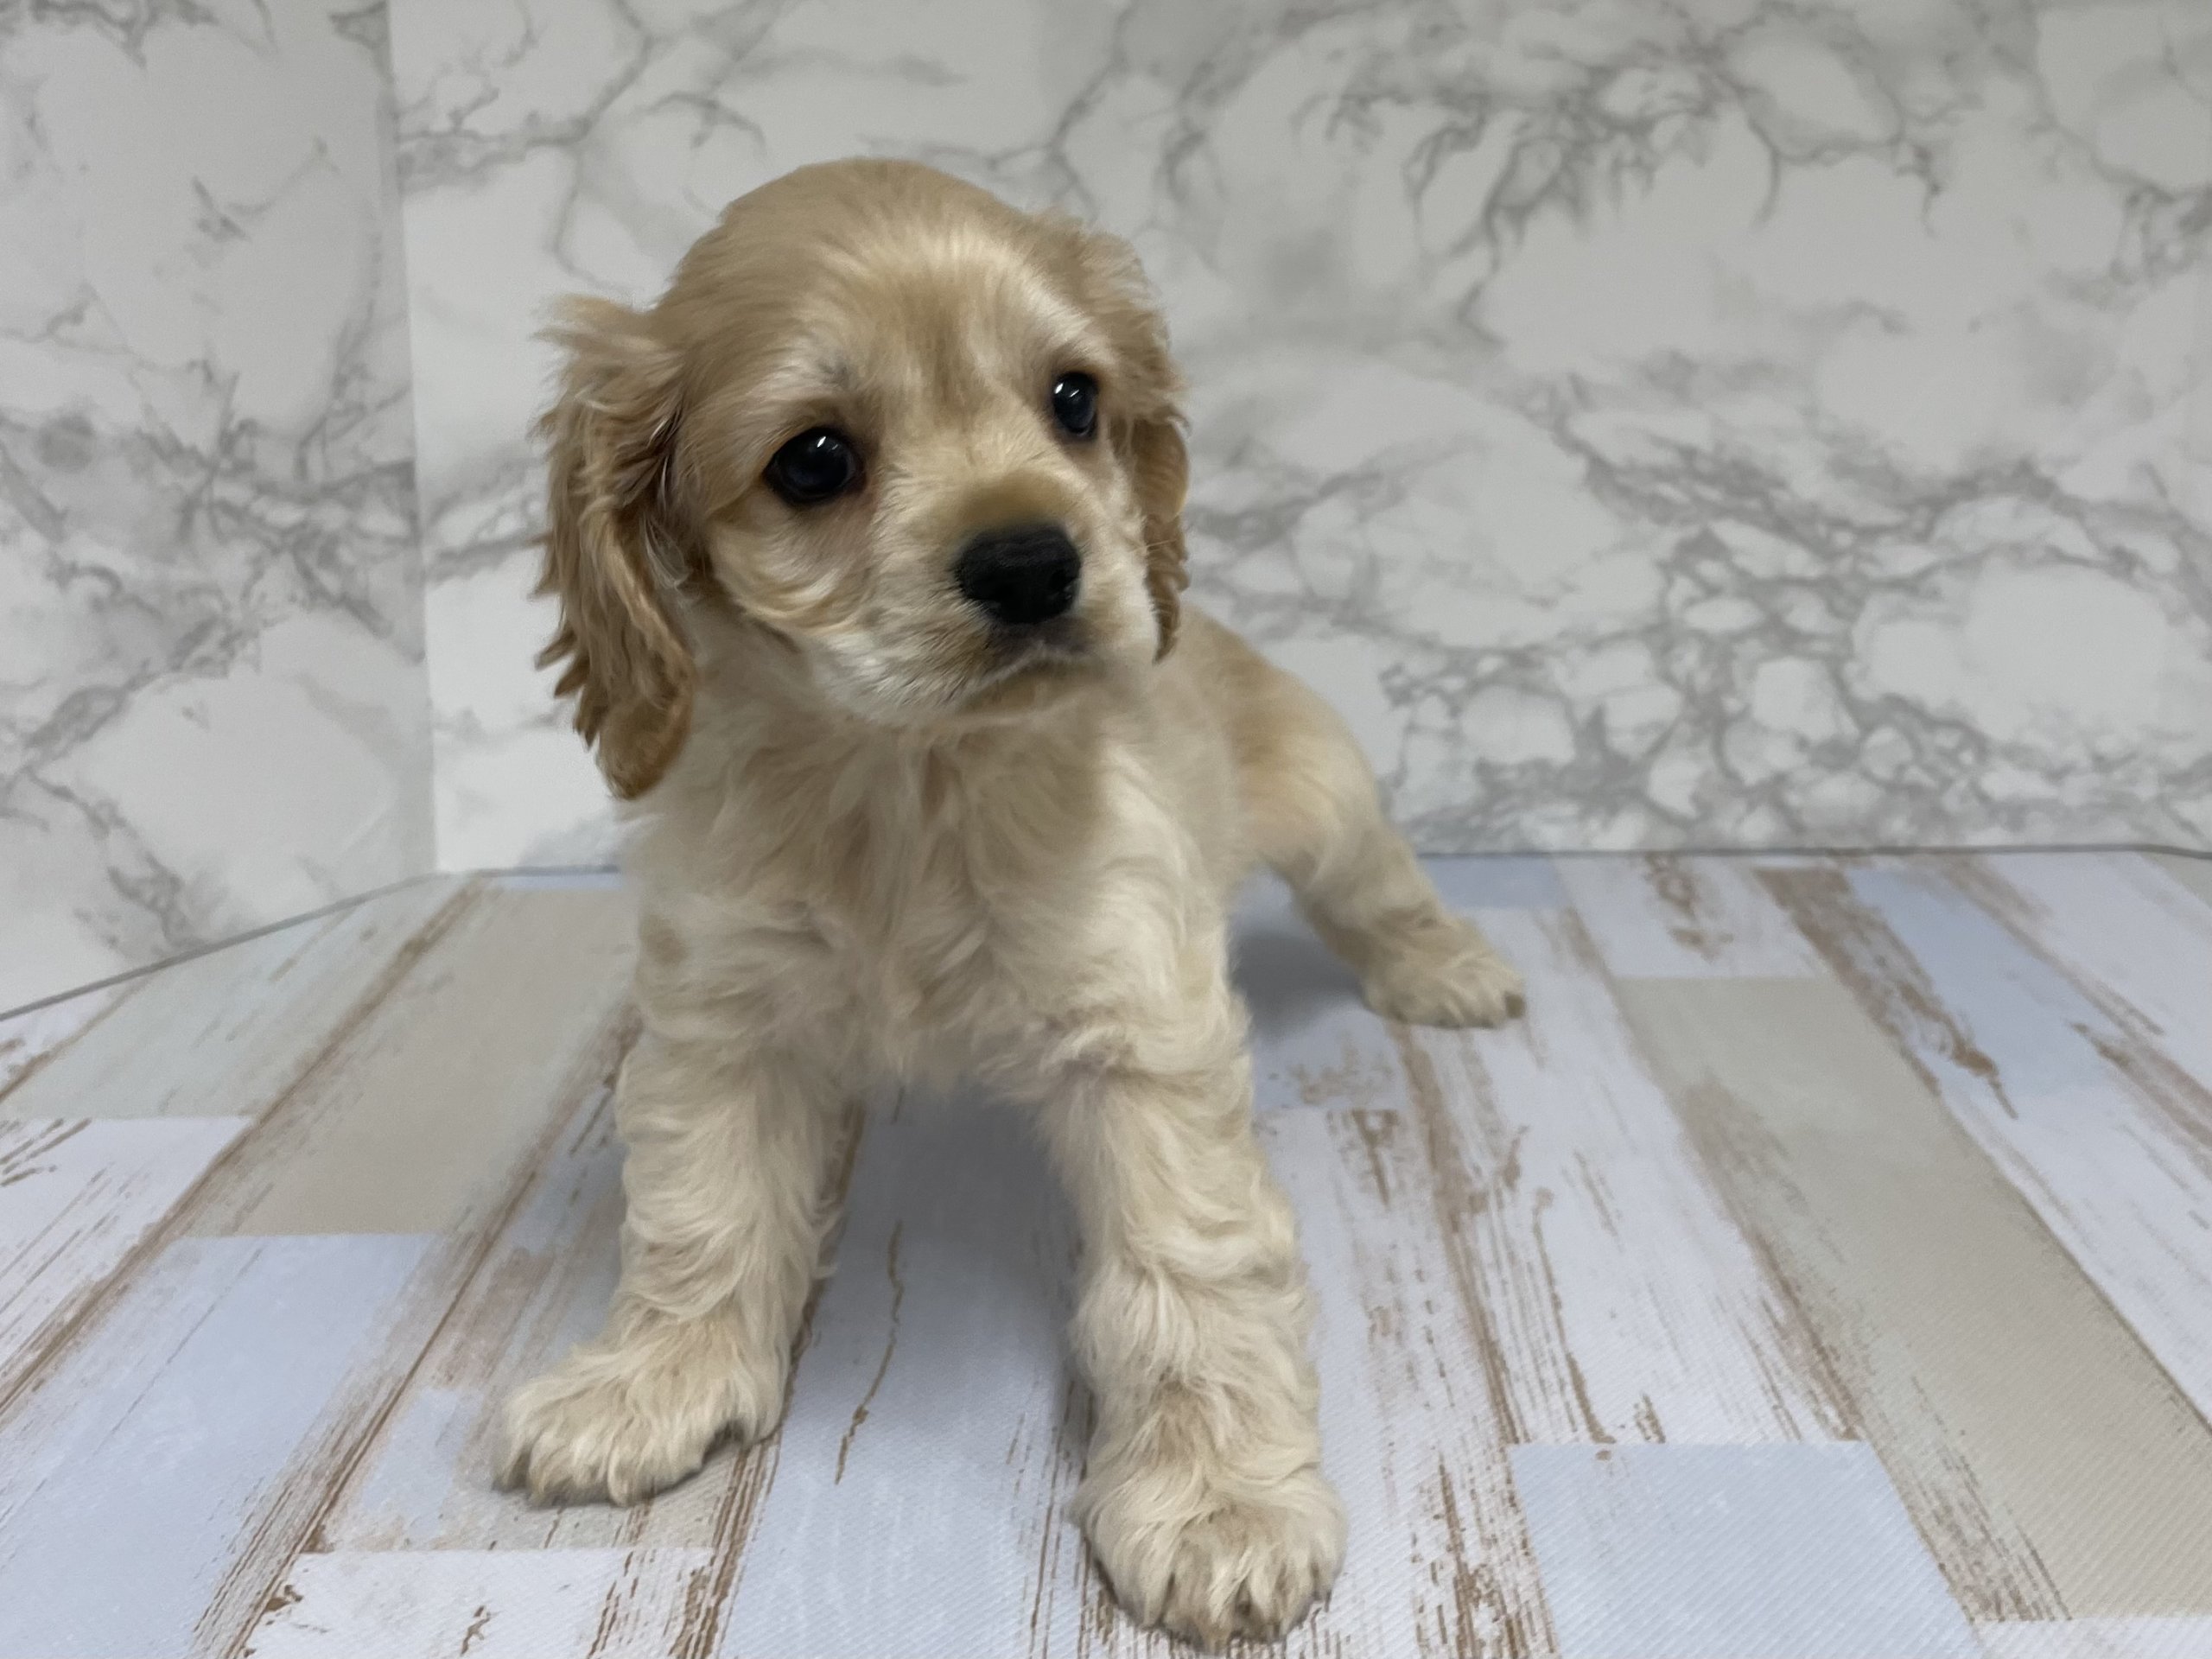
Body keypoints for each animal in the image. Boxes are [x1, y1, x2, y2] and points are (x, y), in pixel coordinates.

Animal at [496, 158, 1525, 1648]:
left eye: (1073, 400)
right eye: (815, 459)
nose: (1038, 563)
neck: (909, 786)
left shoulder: (1142, 1035)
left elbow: (1188, 1268)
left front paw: (1219, 1503)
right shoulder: (720, 1023)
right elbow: (701, 1216)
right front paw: (648, 1382)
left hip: (1328, 799)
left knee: (1380, 890)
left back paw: (1448, 968)